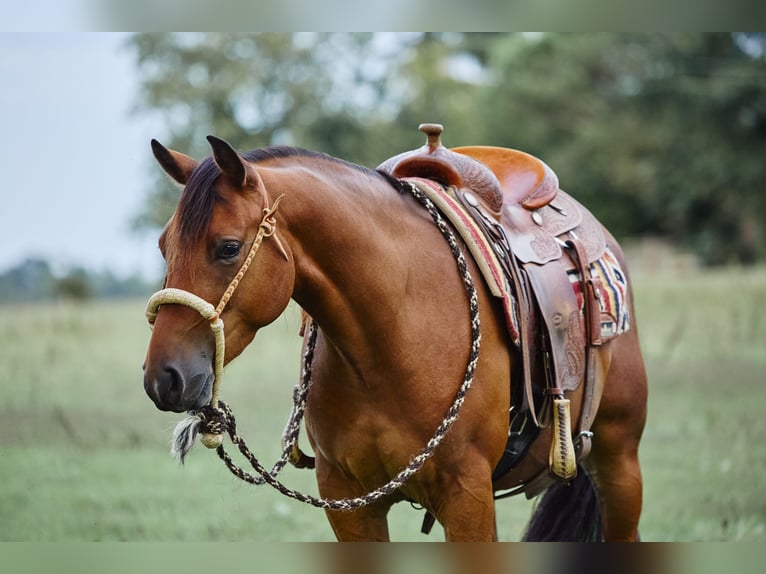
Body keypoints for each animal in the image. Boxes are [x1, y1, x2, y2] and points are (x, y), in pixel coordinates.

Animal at [144, 133, 648, 544]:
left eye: (228, 248)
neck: (389, 339)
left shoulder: (468, 496)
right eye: (163, 246)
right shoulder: (349, 502)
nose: (163, 378)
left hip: (619, 462)